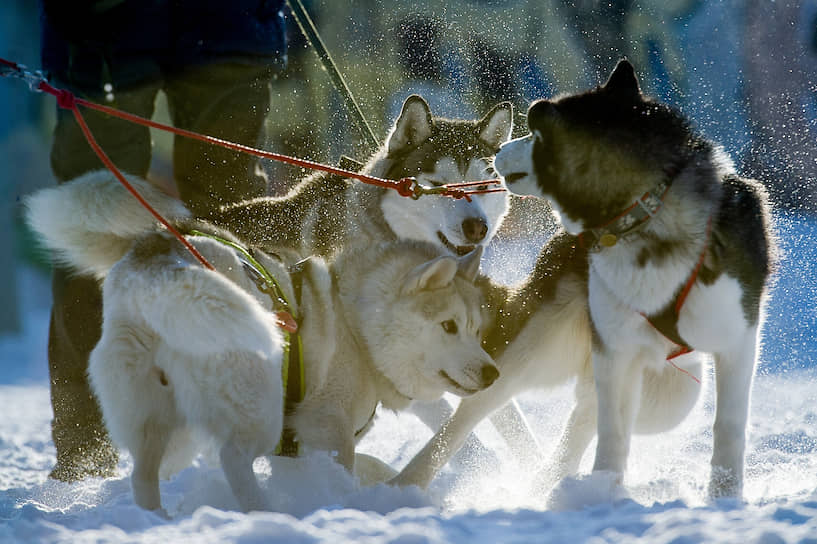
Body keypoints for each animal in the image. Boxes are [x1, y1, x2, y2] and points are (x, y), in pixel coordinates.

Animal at [25, 174, 498, 516]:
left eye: (477, 329)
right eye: (448, 326)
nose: (493, 372)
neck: (355, 324)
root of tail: (159, 264)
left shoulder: (299, 449)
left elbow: (375, 467)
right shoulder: (326, 434)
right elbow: (349, 471)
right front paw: (343, 505)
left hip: (156, 421)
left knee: (143, 477)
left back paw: (156, 521)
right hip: (258, 408)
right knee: (233, 458)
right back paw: (263, 513)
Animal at [396, 60, 776, 502]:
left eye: (535, 133)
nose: (497, 155)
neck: (645, 211)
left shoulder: (737, 340)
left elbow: (727, 426)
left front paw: (724, 499)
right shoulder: (613, 347)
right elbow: (612, 431)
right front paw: (604, 493)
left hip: (669, 388)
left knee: (590, 412)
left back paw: (552, 480)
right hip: (543, 344)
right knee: (479, 409)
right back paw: (411, 480)